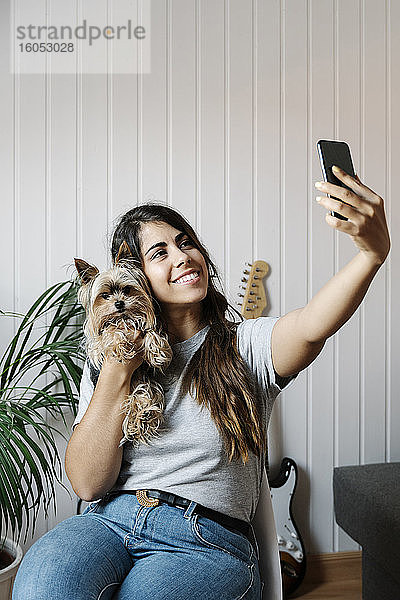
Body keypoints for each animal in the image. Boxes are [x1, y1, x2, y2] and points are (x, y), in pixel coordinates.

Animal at [75, 241, 172, 448]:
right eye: (105, 295)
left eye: (127, 290)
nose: (119, 303)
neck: (123, 318)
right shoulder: (98, 341)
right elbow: (109, 334)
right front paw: (120, 345)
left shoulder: (144, 325)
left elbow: (151, 332)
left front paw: (157, 352)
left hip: (144, 382)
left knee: (142, 397)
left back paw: (144, 414)